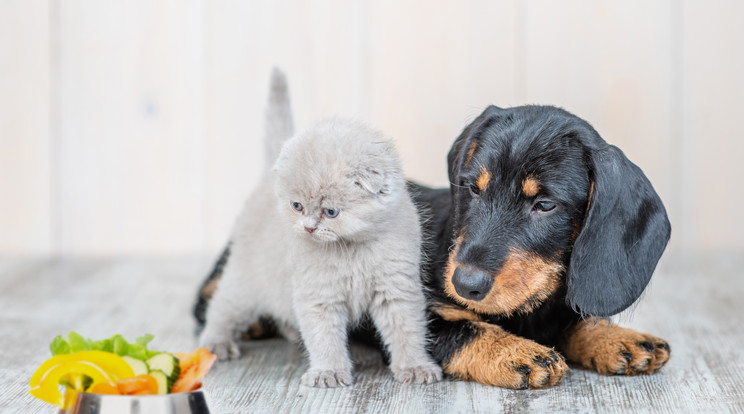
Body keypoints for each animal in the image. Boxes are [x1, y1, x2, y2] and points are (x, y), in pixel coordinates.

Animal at [195, 103, 672, 388]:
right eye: (473, 188)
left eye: (545, 205)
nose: (466, 284)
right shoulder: (418, 309)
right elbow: (464, 329)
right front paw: (515, 353)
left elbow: (577, 318)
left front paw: (619, 339)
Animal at [198, 68, 442, 388]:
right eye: (297, 206)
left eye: (331, 212)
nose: (309, 228)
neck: (351, 248)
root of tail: (266, 178)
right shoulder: (318, 295)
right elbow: (324, 338)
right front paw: (329, 373)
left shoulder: (397, 288)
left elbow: (408, 331)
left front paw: (415, 367)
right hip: (245, 281)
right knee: (222, 307)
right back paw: (216, 343)